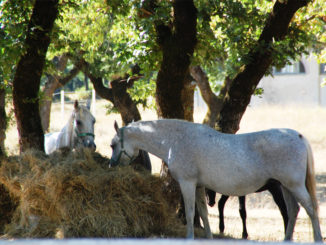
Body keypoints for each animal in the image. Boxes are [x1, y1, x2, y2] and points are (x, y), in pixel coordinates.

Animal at [109, 118, 320, 241]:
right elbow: (203, 213)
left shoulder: (187, 184)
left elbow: (190, 213)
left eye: (112, 145)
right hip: (286, 187)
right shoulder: (199, 186)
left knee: (310, 209)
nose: (111, 165)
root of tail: (299, 136)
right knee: (293, 211)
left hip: (294, 186)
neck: (176, 140)